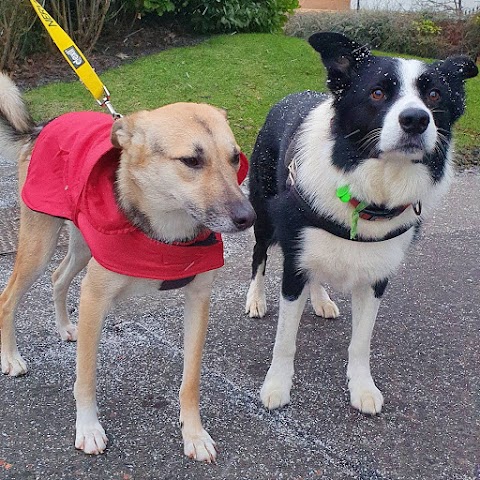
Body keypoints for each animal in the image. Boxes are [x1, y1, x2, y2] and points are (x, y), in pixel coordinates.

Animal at [0, 72, 255, 462]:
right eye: (191, 161)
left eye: (235, 157)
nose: (248, 217)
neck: (165, 234)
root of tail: (42, 127)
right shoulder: (94, 298)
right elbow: (86, 376)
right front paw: (88, 428)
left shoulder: (199, 298)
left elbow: (191, 379)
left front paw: (194, 434)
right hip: (38, 247)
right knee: (9, 298)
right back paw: (11, 358)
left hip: (83, 247)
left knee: (58, 277)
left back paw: (65, 327)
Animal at [246, 31, 478, 414]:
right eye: (378, 92)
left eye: (434, 95)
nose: (416, 119)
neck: (372, 189)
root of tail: (290, 96)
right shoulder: (294, 264)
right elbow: (285, 340)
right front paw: (276, 385)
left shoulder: (376, 278)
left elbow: (361, 342)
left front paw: (363, 388)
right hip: (263, 211)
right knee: (259, 254)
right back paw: (255, 299)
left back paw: (321, 299)